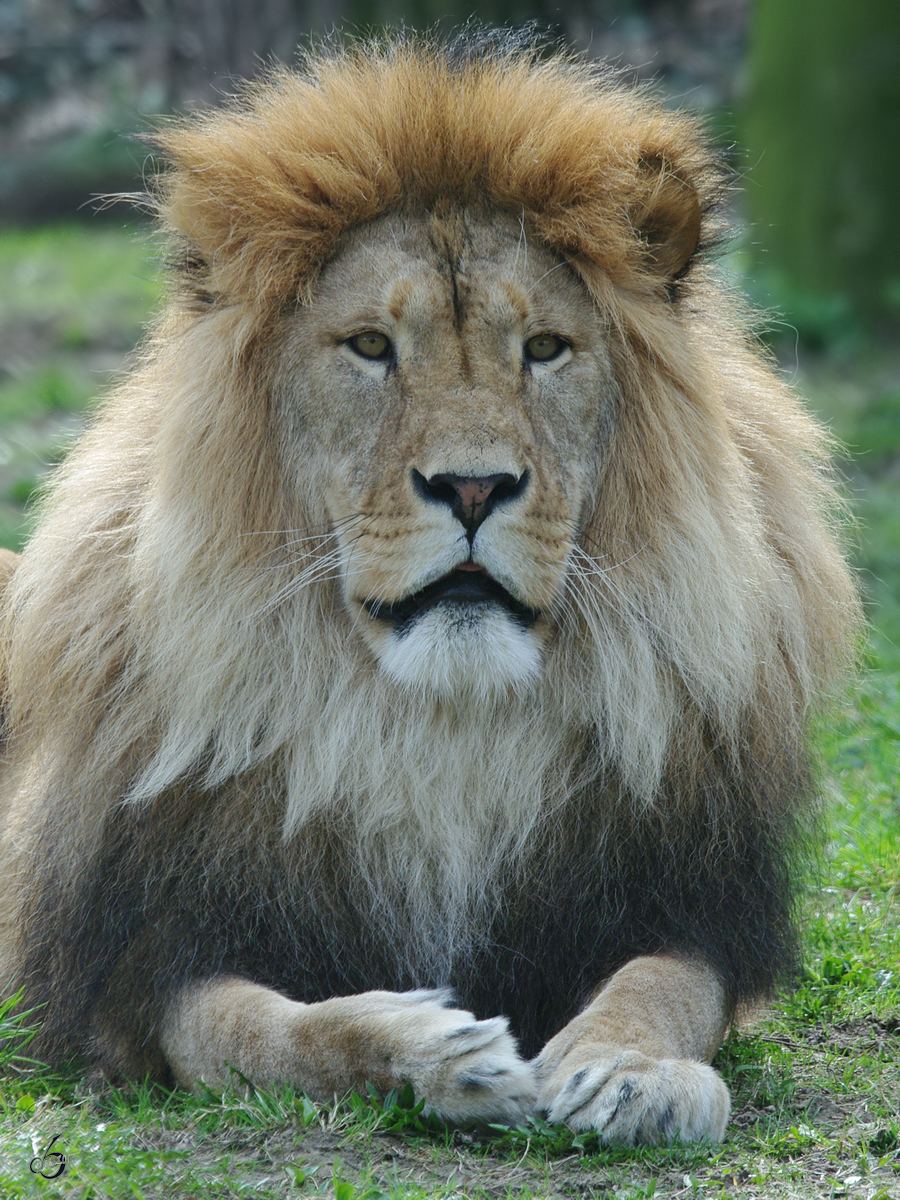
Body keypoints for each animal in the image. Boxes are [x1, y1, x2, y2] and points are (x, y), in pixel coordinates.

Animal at [0, 32, 859, 1147]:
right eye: (371, 346)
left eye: (544, 349)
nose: (473, 486)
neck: (437, 728)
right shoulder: (136, 965)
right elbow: (261, 1029)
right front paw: (433, 1048)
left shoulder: (688, 905)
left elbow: (659, 985)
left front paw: (628, 1072)